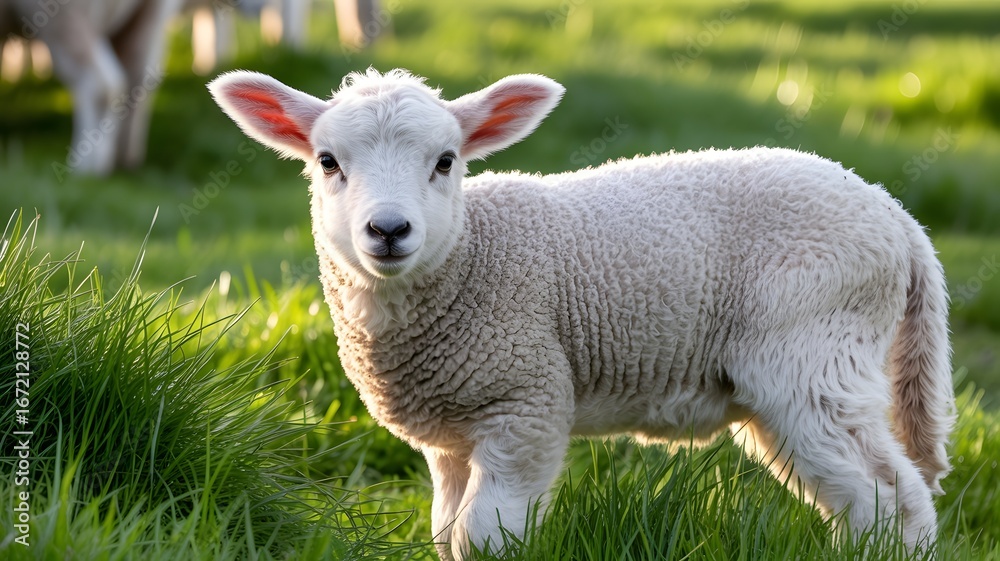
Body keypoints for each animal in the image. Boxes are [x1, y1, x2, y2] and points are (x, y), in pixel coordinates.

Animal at [208, 68, 955, 560]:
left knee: (888, 497)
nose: (388, 230)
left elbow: (484, 535)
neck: (469, 259)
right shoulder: (449, 435)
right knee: (876, 495)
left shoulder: (526, 401)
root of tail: (897, 217)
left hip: (812, 354)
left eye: (446, 161)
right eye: (327, 162)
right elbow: (447, 533)